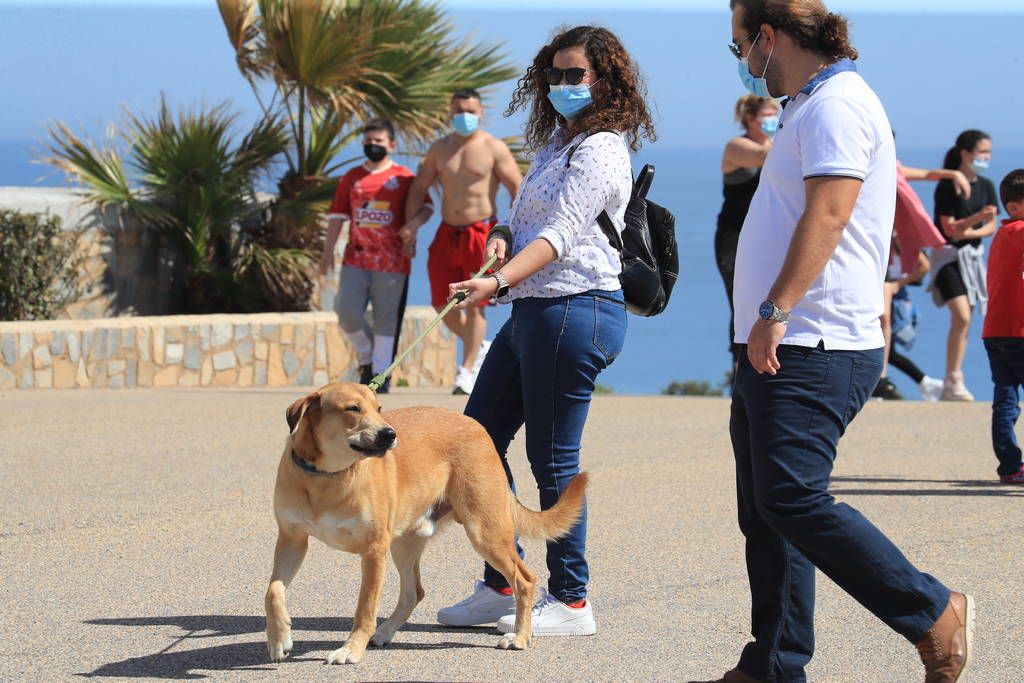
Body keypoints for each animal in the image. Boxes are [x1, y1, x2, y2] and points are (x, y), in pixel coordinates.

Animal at [264, 382, 589, 663]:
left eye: (379, 407)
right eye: (353, 408)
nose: (390, 435)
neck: (326, 476)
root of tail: (478, 428)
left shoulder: (373, 550)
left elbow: (365, 609)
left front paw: (350, 650)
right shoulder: (292, 540)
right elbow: (273, 591)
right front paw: (280, 638)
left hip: (484, 532)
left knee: (524, 579)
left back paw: (520, 637)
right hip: (404, 543)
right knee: (414, 592)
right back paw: (384, 633)